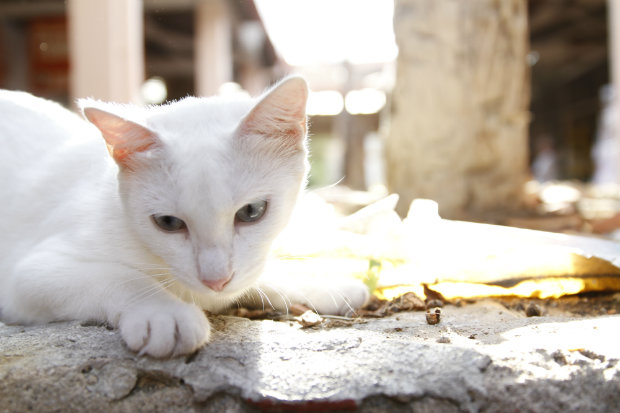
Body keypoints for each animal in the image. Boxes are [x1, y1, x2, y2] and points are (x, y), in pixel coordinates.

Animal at [0, 78, 368, 358]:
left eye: (251, 212)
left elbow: (261, 275)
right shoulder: (30, 273)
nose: (216, 280)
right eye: (168, 223)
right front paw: (164, 313)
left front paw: (324, 283)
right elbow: (122, 277)